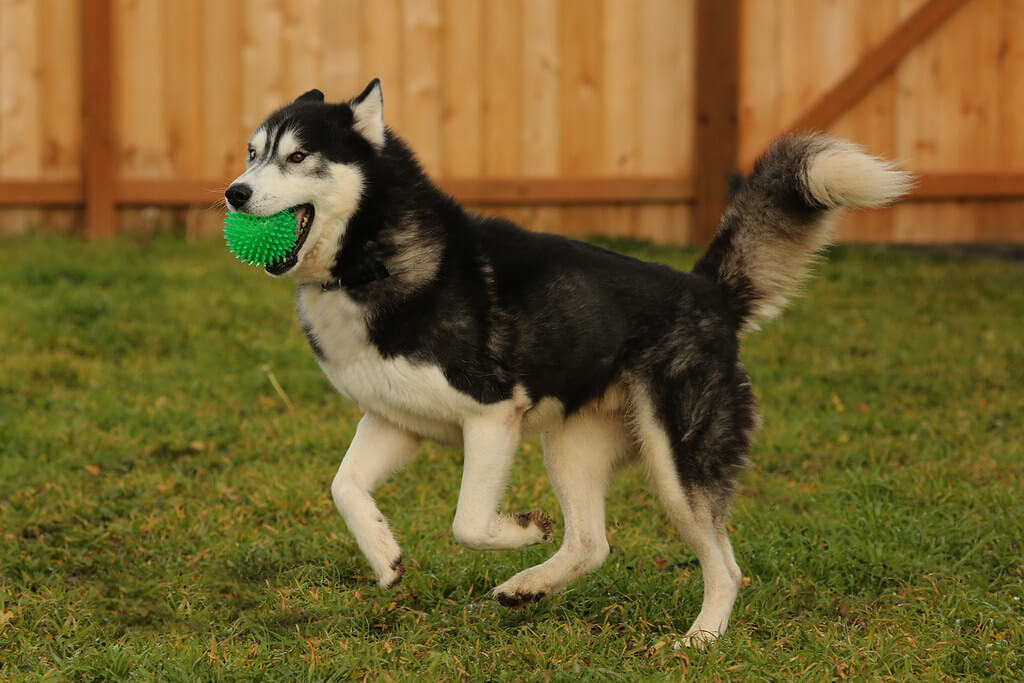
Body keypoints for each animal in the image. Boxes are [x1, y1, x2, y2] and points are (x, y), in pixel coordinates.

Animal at [226, 80, 913, 647]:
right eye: (252, 153)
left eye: (296, 157)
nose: (233, 192)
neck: (369, 261)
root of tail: (708, 292)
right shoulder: (396, 420)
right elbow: (343, 488)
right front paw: (385, 557)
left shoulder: (493, 415)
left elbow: (468, 522)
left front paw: (522, 530)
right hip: (570, 444)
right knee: (592, 543)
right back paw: (526, 588)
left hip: (675, 464)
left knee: (726, 564)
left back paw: (701, 637)